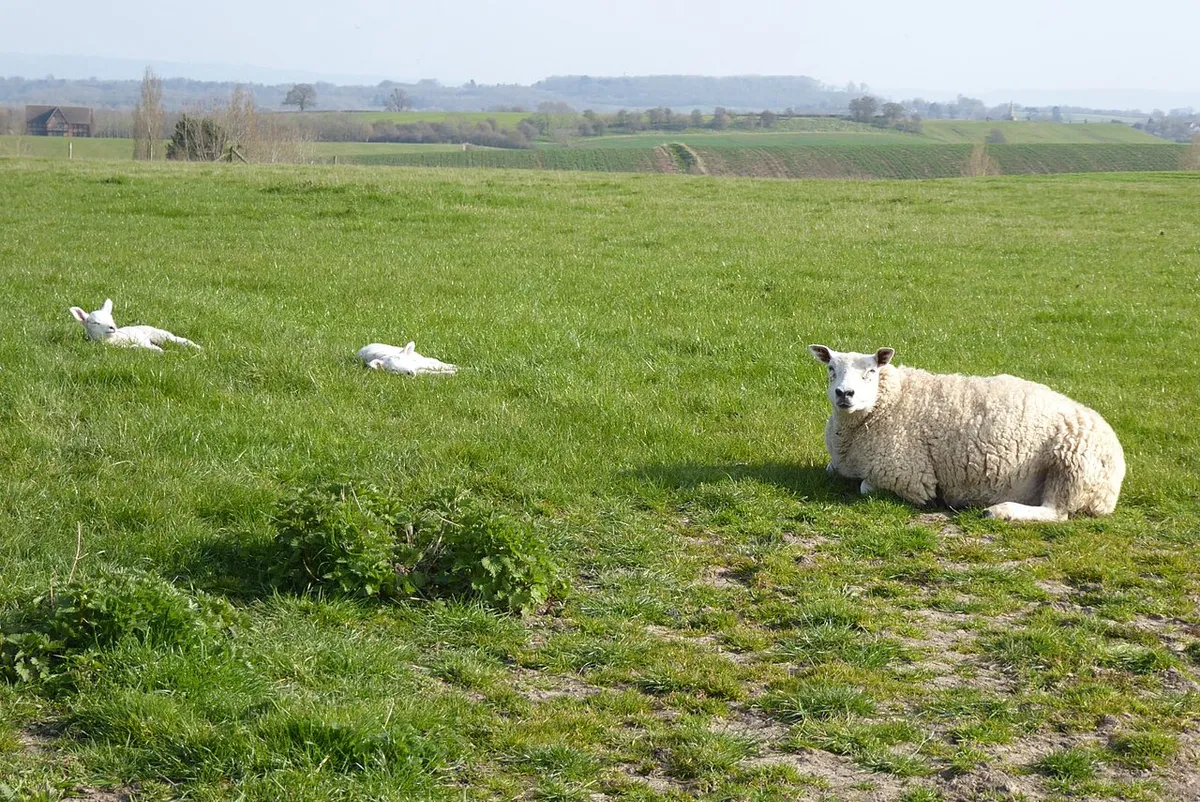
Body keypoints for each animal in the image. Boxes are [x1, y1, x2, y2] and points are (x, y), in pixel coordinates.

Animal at [69, 299, 201, 352]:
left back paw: (196, 347)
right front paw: (157, 350)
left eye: (111, 318)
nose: (112, 327)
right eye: (95, 322)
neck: (115, 340)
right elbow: (135, 347)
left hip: (160, 334)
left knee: (179, 339)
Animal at [808, 345, 1125, 522]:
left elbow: (865, 487)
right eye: (831, 368)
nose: (844, 394)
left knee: (1057, 512)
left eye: (871, 371)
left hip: (1070, 467)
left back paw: (999, 511)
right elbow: (829, 470)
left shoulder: (908, 475)